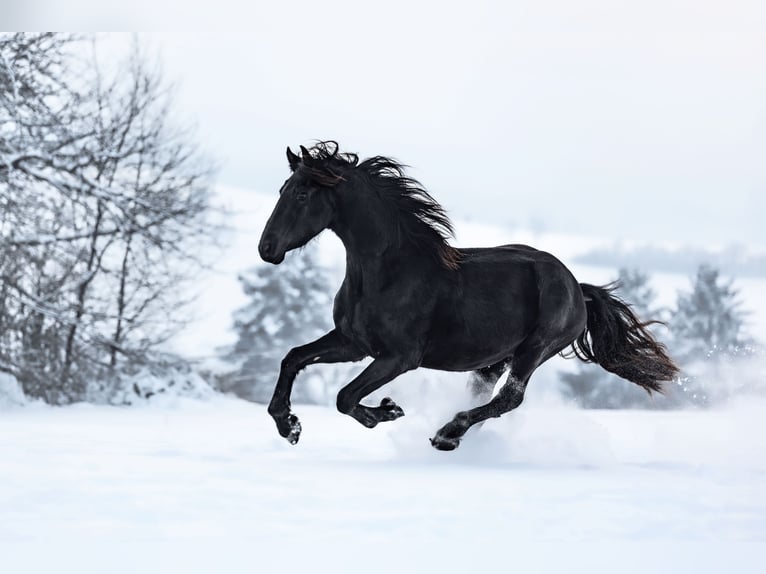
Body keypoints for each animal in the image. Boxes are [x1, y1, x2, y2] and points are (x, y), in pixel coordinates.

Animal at [258, 142, 680, 452]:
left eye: (301, 194)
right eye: (281, 190)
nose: (267, 249)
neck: (389, 273)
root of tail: (579, 289)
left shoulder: (399, 357)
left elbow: (345, 397)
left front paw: (388, 411)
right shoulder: (354, 343)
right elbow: (293, 358)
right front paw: (288, 425)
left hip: (535, 349)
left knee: (509, 399)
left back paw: (447, 434)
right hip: (494, 359)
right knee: (488, 396)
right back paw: (452, 434)